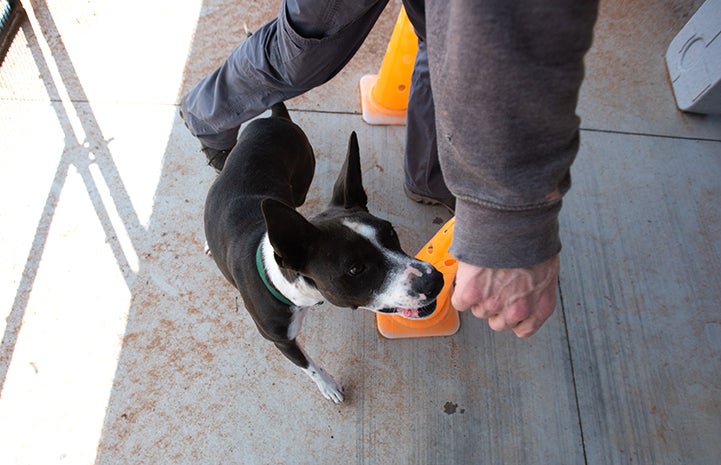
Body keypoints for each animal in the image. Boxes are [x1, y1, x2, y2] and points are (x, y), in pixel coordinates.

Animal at [204, 102, 444, 402]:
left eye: (390, 232)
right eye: (355, 268)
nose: (434, 279)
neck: (280, 277)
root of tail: (275, 117)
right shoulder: (279, 338)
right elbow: (307, 365)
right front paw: (329, 385)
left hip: (300, 183)